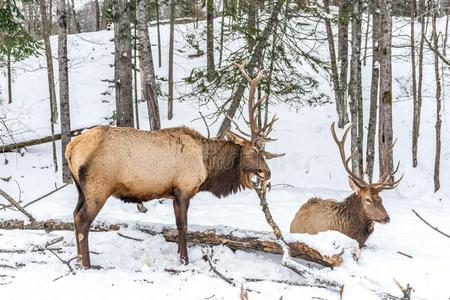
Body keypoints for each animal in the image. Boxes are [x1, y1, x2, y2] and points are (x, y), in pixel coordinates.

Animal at [65, 62, 284, 268]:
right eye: (255, 151)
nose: (267, 172)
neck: (207, 166)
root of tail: (70, 148)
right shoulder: (183, 189)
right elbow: (182, 226)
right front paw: (184, 261)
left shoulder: (172, 193)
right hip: (98, 187)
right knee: (83, 220)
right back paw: (87, 264)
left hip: (81, 190)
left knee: (74, 216)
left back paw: (77, 260)